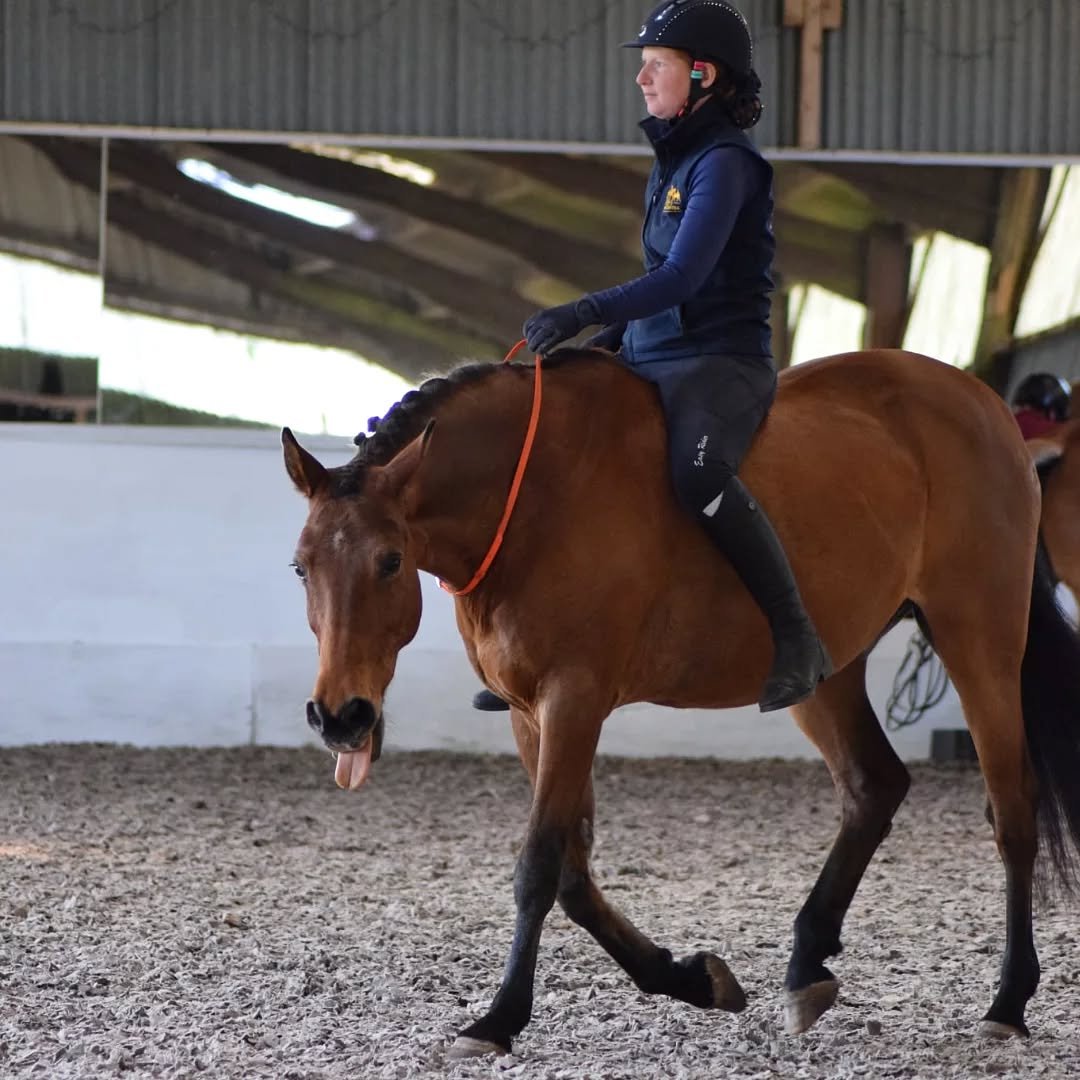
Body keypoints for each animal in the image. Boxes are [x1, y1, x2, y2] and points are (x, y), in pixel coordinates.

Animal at [282, 347, 1080, 1059]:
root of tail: (984, 406)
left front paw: (499, 1019)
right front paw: (695, 979)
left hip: (978, 638)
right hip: (826, 671)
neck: (531, 498)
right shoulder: (529, 713)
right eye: (301, 567)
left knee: (1011, 811)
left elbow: (540, 864)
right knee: (873, 785)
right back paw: (807, 968)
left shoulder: (574, 699)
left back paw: (1007, 1003)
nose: (340, 717)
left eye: (389, 561)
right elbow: (573, 872)